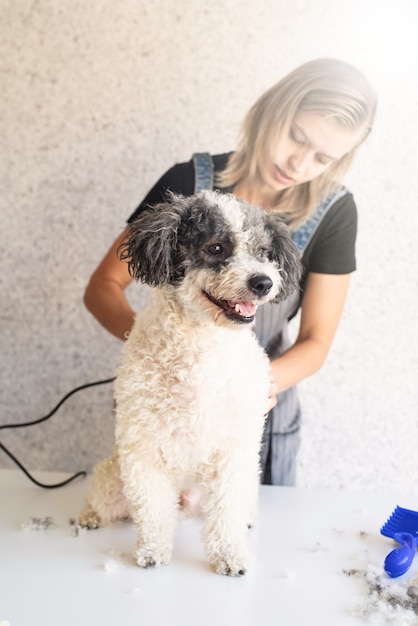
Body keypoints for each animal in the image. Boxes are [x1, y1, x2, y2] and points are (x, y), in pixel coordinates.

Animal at [78, 190, 300, 576]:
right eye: (216, 247)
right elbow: (152, 511)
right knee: (106, 499)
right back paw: (89, 516)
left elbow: (226, 512)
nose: (263, 283)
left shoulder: (233, 451)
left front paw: (229, 555)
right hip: (114, 477)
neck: (200, 347)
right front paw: (152, 551)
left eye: (263, 251)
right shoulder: (142, 449)